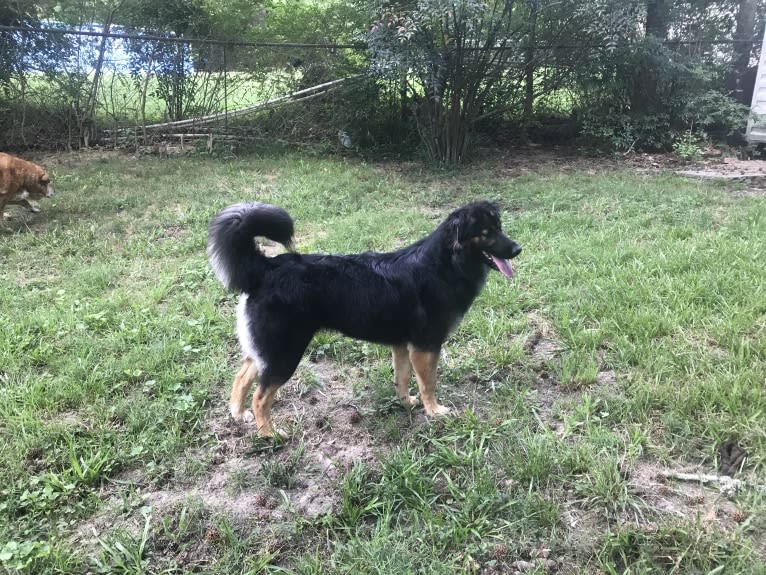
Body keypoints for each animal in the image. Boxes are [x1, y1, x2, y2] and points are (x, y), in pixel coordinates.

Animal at [208, 202, 520, 436]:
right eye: (485, 232)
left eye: (499, 228)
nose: (518, 249)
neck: (445, 263)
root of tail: (265, 268)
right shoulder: (426, 346)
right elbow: (428, 383)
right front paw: (435, 412)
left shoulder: (403, 345)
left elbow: (402, 378)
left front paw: (407, 403)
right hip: (285, 353)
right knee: (261, 396)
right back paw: (270, 434)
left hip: (268, 349)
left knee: (242, 376)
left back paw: (238, 414)